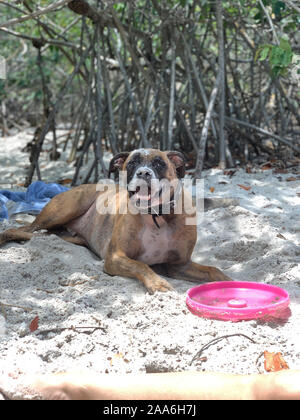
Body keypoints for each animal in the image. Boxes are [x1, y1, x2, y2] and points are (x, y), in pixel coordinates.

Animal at [0, 149, 231, 294]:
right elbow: (141, 266)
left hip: (69, 234)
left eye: (159, 163)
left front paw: (229, 281)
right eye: (132, 163)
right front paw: (158, 284)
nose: (144, 172)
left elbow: (214, 270)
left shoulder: (179, 266)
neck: (156, 216)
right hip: (65, 209)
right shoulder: (115, 257)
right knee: (24, 228)